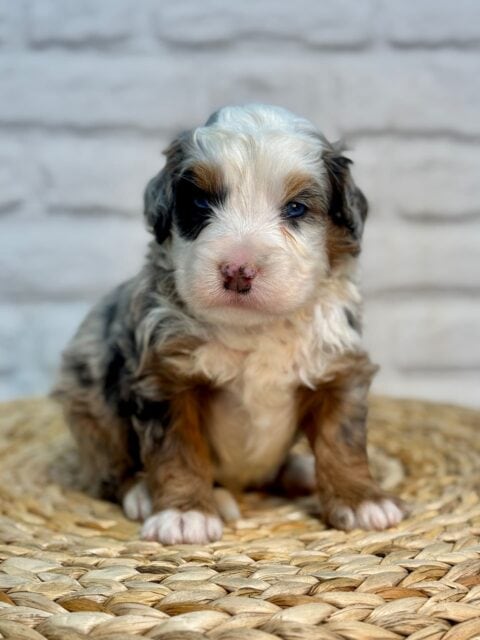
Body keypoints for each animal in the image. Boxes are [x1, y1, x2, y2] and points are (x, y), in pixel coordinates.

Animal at [52, 102, 404, 544]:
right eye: (201, 204)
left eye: (296, 208)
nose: (239, 270)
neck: (254, 328)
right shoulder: (165, 378)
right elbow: (178, 451)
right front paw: (185, 514)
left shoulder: (339, 370)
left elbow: (342, 440)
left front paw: (361, 500)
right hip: (90, 396)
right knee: (109, 470)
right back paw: (145, 493)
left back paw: (301, 471)